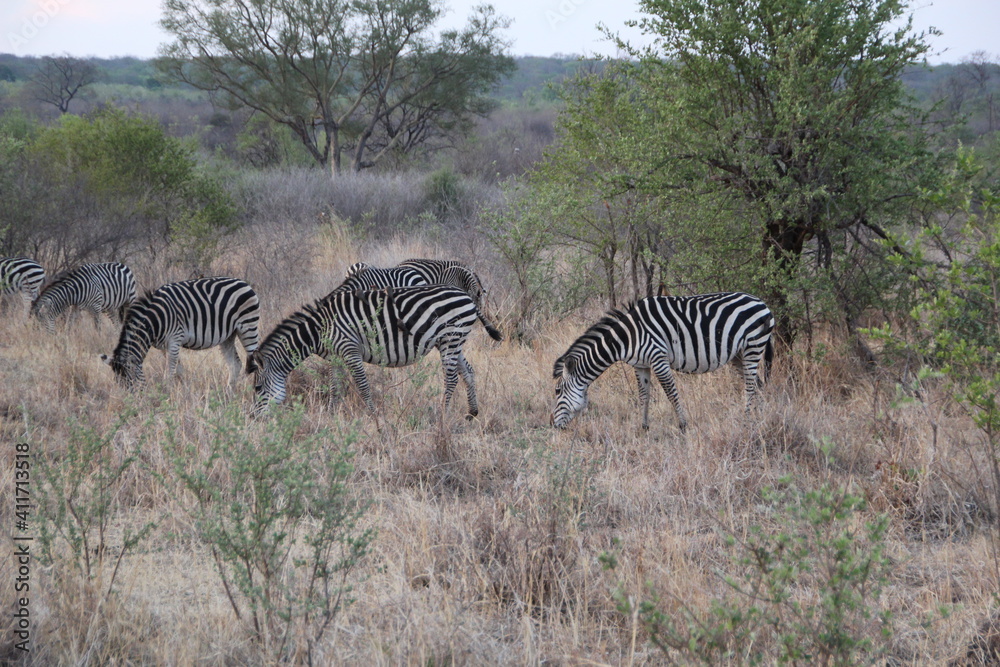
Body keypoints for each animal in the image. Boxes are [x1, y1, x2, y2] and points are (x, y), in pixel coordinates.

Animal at [101, 277, 260, 389]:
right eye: (118, 384)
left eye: (130, 382)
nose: (136, 404)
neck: (154, 321)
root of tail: (244, 283)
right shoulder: (164, 346)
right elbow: (179, 371)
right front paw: (183, 390)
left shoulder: (174, 340)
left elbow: (169, 372)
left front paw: (167, 393)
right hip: (228, 336)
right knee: (235, 365)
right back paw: (229, 392)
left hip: (248, 326)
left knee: (255, 362)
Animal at [247, 284, 503, 418]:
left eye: (257, 388)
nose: (253, 419)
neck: (320, 330)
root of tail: (466, 295)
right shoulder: (336, 358)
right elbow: (334, 387)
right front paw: (331, 415)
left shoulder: (350, 350)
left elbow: (362, 385)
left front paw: (373, 416)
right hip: (451, 341)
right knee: (467, 371)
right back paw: (472, 412)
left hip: (451, 337)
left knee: (451, 378)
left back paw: (442, 414)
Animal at [552, 292, 775, 432]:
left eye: (557, 391)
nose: (553, 425)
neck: (628, 337)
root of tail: (762, 303)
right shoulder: (640, 365)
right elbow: (644, 396)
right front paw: (644, 428)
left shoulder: (658, 358)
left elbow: (671, 394)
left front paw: (683, 426)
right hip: (738, 355)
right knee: (757, 385)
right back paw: (759, 418)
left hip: (753, 346)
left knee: (750, 386)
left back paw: (747, 420)